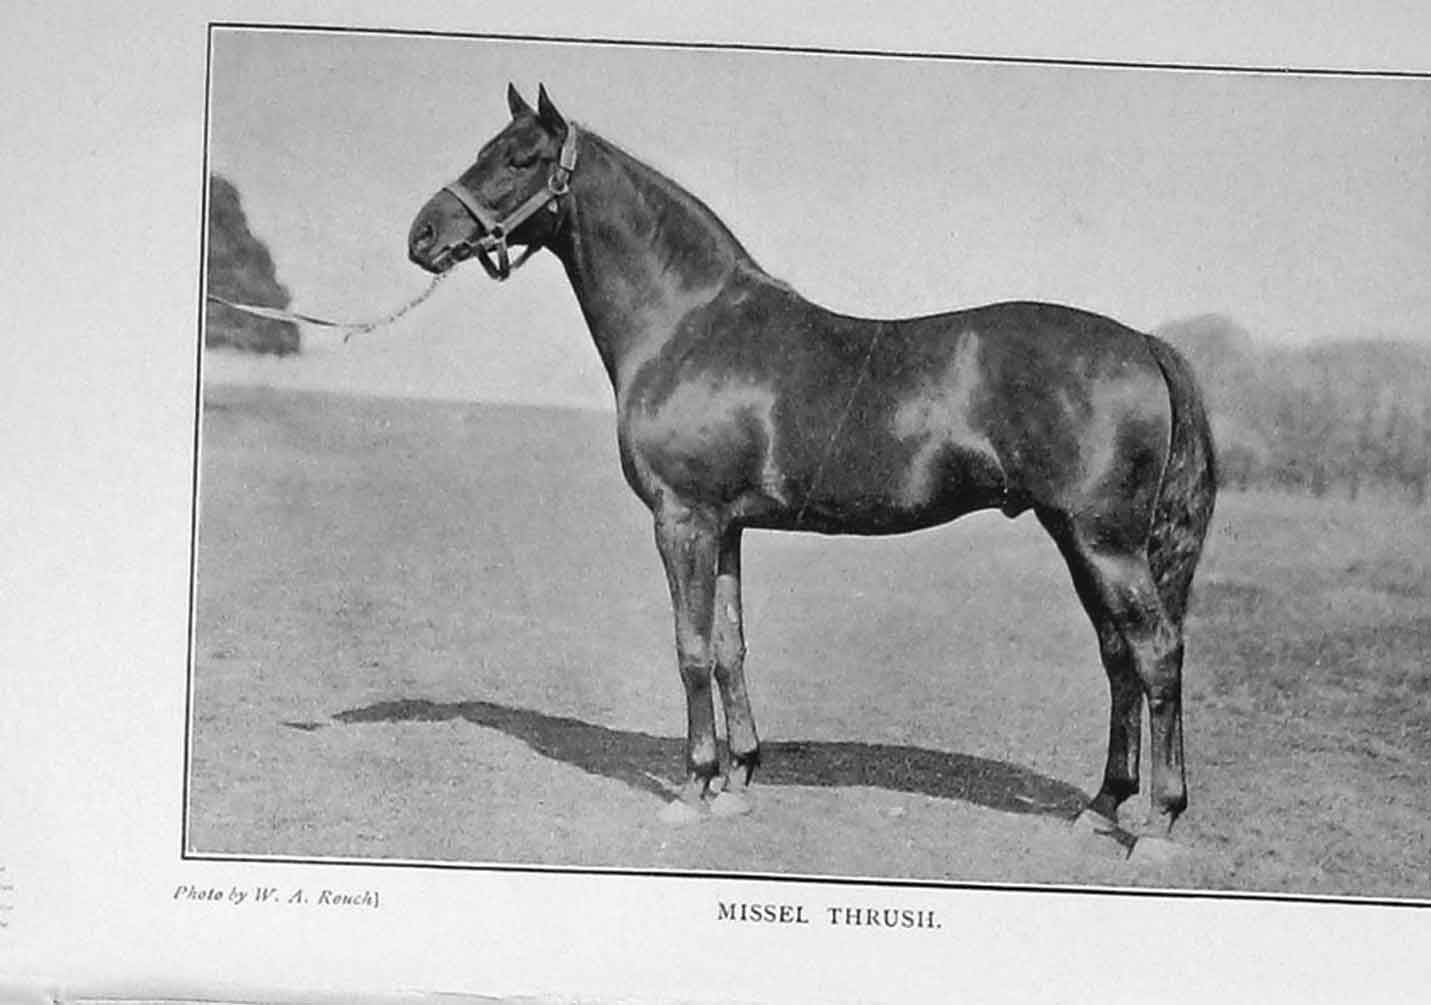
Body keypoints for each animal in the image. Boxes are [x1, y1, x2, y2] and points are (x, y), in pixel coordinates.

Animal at [406, 84, 1217, 854]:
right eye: (486, 150)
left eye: (520, 159)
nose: (423, 234)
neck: (687, 325)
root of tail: (1142, 343)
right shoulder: (725, 528)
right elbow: (729, 646)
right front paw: (737, 778)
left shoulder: (682, 520)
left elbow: (690, 649)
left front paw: (693, 786)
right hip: (1079, 539)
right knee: (1118, 657)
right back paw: (1102, 805)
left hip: (1104, 542)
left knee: (1156, 652)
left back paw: (1156, 824)